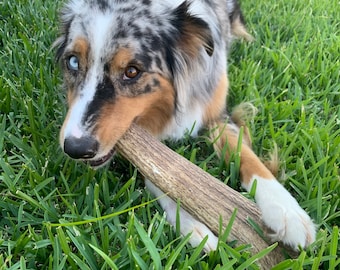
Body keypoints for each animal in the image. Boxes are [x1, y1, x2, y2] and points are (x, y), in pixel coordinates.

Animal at [53, 0, 316, 252]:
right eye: (73, 61)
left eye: (132, 71)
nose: (75, 148)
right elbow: (160, 174)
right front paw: (192, 225)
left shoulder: (217, 114)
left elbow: (247, 156)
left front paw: (285, 212)